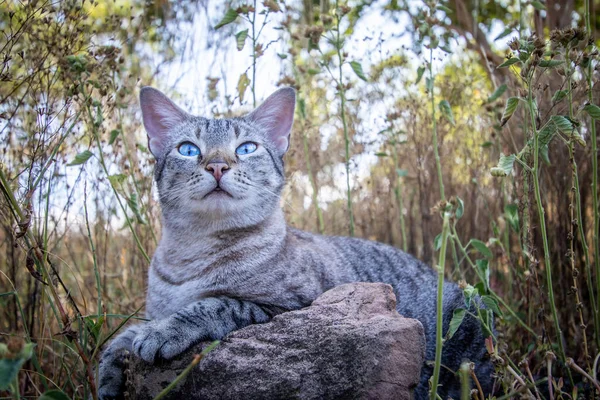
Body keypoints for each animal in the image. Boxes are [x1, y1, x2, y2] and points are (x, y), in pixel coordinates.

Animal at [97, 87, 492, 400]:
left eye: (247, 147)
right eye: (189, 149)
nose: (218, 166)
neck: (191, 252)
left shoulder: (289, 308)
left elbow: (214, 304)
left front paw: (163, 331)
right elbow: (119, 338)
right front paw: (108, 375)